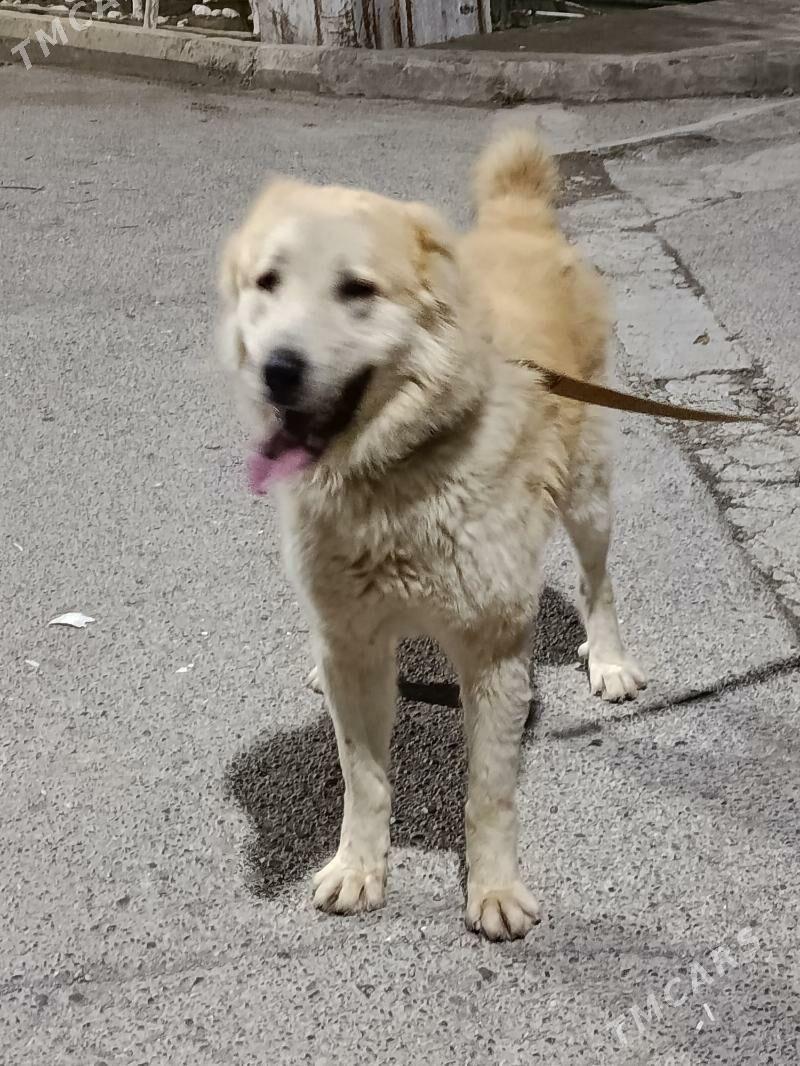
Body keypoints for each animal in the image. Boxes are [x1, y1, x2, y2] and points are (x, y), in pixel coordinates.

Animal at [219, 131, 646, 941]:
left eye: (357, 290)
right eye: (268, 282)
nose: (277, 371)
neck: (396, 474)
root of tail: (517, 218)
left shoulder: (494, 648)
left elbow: (489, 792)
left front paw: (494, 887)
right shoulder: (356, 643)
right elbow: (363, 780)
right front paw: (359, 867)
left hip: (588, 497)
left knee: (597, 583)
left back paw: (608, 659)